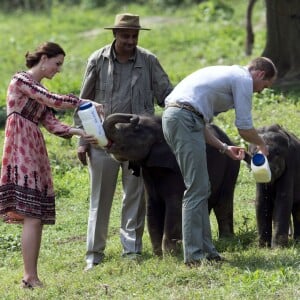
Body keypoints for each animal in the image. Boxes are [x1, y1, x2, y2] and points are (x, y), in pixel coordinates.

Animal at [103, 112, 241, 255]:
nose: (133, 117)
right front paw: (158, 254)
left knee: (223, 202)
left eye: (136, 129)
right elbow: (152, 206)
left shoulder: (178, 170)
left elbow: (175, 205)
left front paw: (171, 254)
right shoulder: (149, 172)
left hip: (231, 168)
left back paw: (226, 240)